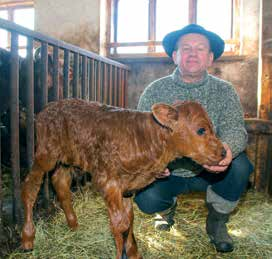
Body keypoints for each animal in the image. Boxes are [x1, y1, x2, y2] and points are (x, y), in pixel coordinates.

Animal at [21, 98, 225, 258]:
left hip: (66, 159)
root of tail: (47, 108)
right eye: (201, 130)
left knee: (60, 183)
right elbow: (119, 224)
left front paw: (133, 253)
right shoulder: (108, 182)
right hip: (46, 154)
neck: (147, 139)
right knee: (30, 186)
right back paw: (28, 238)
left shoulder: (128, 187)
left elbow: (129, 219)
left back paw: (73, 224)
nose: (223, 152)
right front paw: (123, 254)